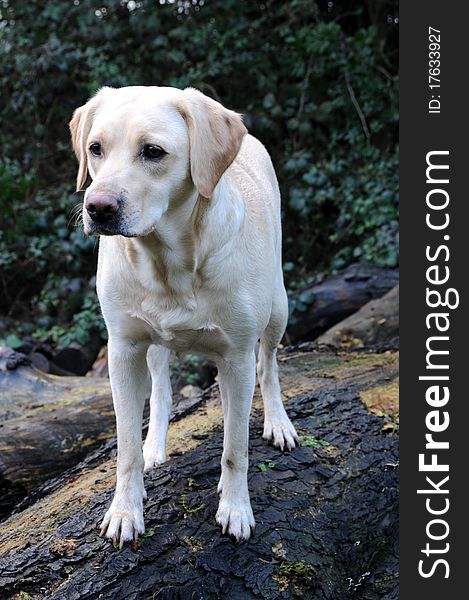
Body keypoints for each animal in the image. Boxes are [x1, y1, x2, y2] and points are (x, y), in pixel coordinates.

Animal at [68, 85, 296, 548]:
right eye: (95, 148)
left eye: (153, 152)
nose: (97, 208)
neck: (168, 263)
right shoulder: (123, 349)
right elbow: (126, 447)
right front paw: (125, 511)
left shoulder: (237, 357)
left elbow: (235, 448)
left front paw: (235, 508)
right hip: (153, 345)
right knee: (161, 391)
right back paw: (155, 445)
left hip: (277, 309)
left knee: (269, 367)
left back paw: (278, 422)